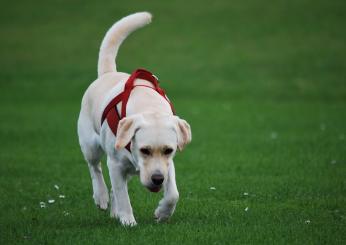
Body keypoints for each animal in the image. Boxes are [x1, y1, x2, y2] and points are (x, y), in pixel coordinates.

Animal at [77, 11, 192, 226]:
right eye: (144, 150)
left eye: (168, 150)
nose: (157, 179)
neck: (149, 107)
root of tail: (108, 73)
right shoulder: (115, 163)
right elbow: (123, 195)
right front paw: (128, 221)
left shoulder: (168, 164)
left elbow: (173, 194)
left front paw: (162, 213)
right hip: (90, 145)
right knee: (95, 168)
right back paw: (101, 197)